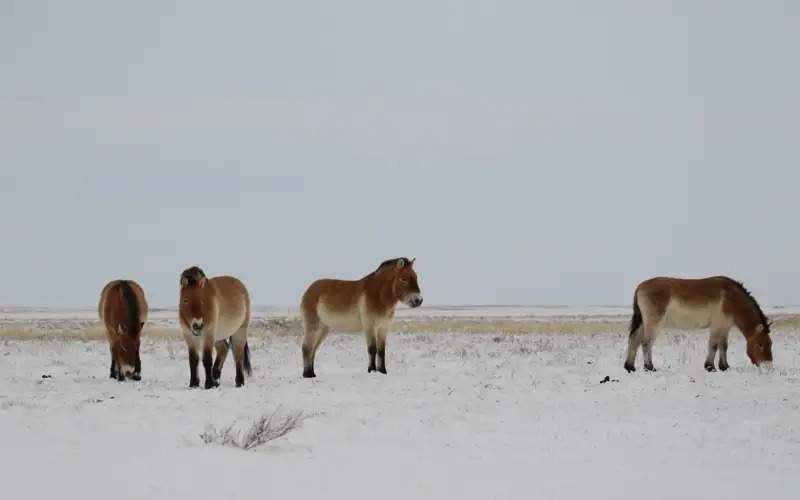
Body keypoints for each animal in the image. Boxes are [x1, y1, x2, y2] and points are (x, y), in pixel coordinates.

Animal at [624, 276, 776, 374]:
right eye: (760, 344)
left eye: (770, 344)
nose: (768, 367)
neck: (731, 299)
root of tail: (640, 287)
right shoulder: (717, 326)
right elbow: (714, 345)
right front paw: (710, 367)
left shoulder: (724, 327)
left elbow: (723, 346)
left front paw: (724, 367)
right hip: (653, 324)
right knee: (646, 343)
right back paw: (649, 367)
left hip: (643, 323)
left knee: (634, 341)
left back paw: (630, 367)